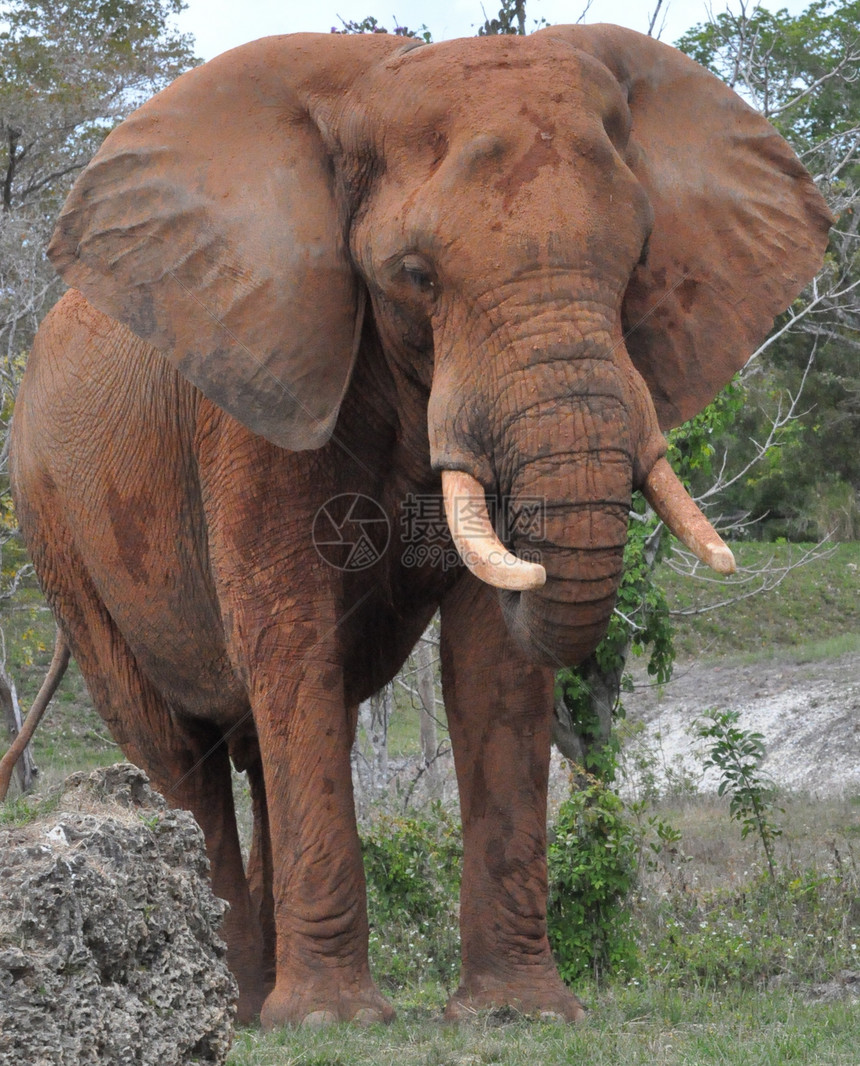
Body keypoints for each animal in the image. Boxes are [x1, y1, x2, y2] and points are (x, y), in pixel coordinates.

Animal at [10, 22, 831, 1023]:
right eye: (415, 276)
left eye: (639, 261)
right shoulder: (256, 390)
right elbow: (290, 637)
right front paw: (330, 1021)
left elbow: (492, 668)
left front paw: (516, 1012)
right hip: (58, 531)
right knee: (184, 763)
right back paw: (236, 1007)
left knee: (258, 755)